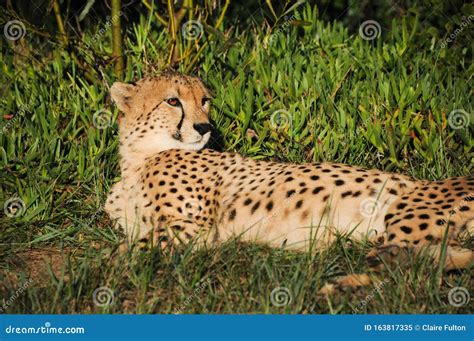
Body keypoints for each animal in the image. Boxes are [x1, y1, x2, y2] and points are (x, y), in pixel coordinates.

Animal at [104, 71, 474, 292]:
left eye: (204, 101)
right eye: (172, 100)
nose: (204, 127)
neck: (139, 158)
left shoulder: (195, 227)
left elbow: (125, 250)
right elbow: (129, 242)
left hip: (407, 212)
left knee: (412, 268)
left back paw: (341, 283)